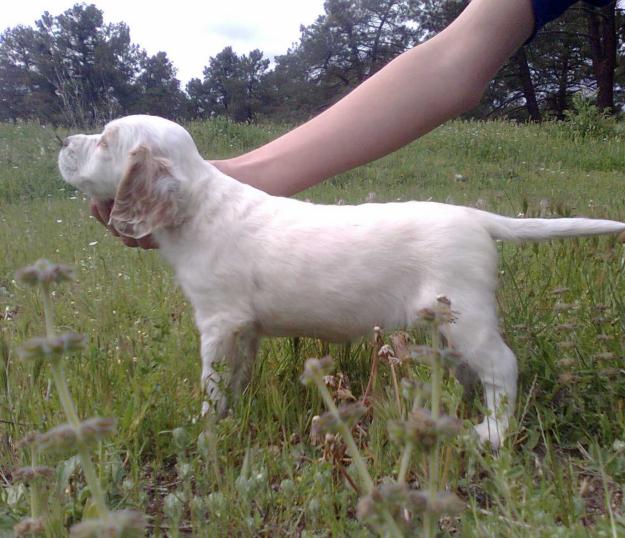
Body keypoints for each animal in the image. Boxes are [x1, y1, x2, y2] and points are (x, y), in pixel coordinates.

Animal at [59, 115, 624, 446]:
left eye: (105, 141)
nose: (62, 141)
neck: (199, 203)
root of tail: (475, 216)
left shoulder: (219, 321)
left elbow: (212, 385)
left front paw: (205, 430)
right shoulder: (243, 329)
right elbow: (236, 378)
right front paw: (233, 415)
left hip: (467, 317)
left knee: (502, 365)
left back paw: (491, 431)